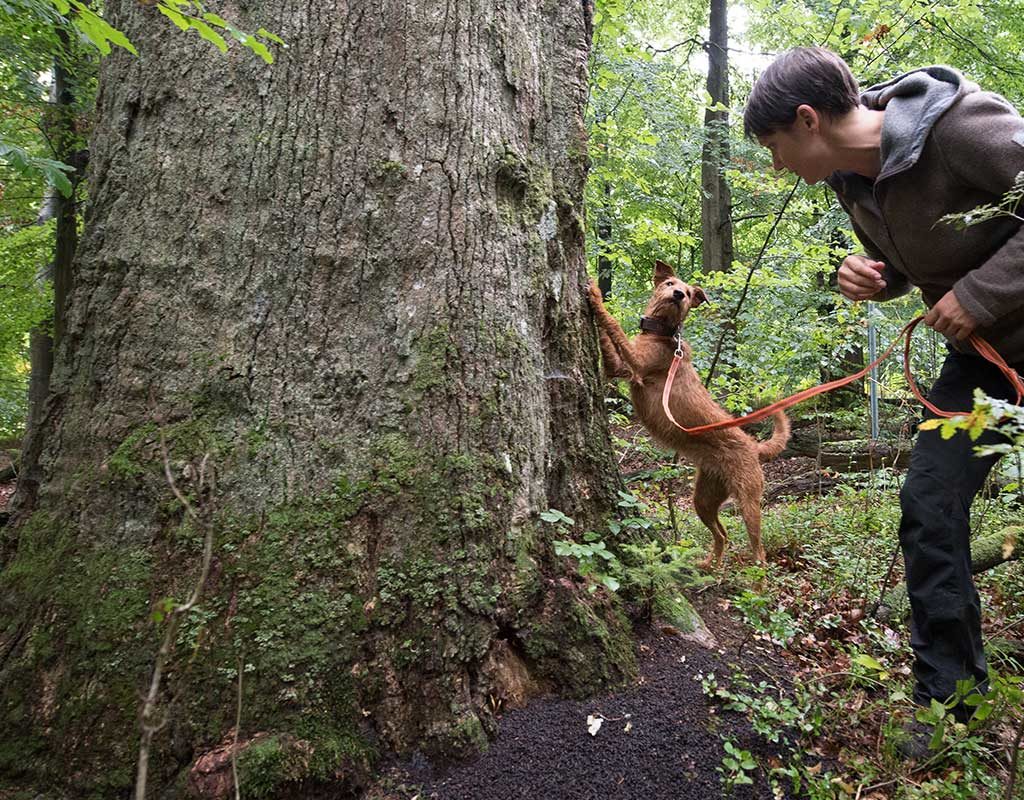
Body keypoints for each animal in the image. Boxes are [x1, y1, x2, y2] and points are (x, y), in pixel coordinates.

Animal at [585, 260, 790, 569]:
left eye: (690, 292)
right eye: (671, 283)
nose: (680, 294)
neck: (662, 334)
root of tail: (754, 447)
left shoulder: (638, 362)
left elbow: (614, 326)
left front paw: (596, 296)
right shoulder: (621, 369)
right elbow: (608, 344)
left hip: (748, 501)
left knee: (759, 550)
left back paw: (756, 578)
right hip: (704, 498)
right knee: (723, 534)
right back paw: (710, 566)